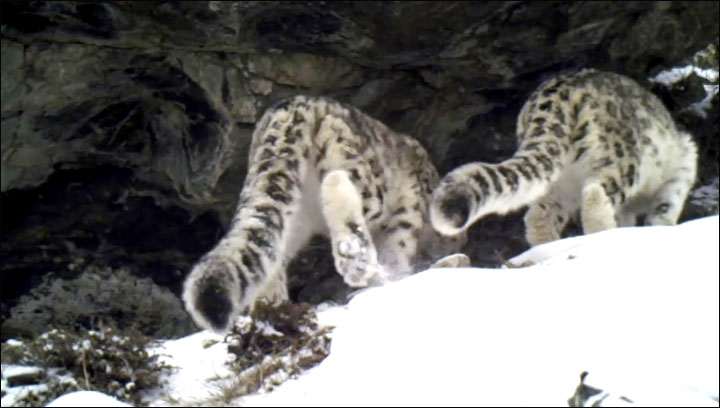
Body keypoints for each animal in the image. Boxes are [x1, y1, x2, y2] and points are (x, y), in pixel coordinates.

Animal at [183, 95, 466, 332]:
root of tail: (291, 110)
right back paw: (355, 259)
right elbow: (397, 249)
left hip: (290, 209)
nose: (455, 243)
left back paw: (272, 310)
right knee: (339, 186)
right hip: (358, 171)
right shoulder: (406, 214)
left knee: (272, 247)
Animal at [430, 69, 696, 245]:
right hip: (621, 161)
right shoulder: (684, 166)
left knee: (538, 214)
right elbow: (667, 204)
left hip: (560, 180)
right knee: (595, 193)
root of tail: (557, 90)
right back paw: (603, 233)